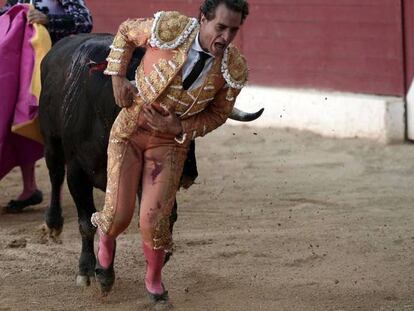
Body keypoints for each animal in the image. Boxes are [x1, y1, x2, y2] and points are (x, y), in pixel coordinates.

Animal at [39, 33, 266, 286]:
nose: (188, 175)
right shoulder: (77, 172)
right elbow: (86, 223)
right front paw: (87, 270)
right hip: (51, 142)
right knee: (55, 174)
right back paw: (53, 224)